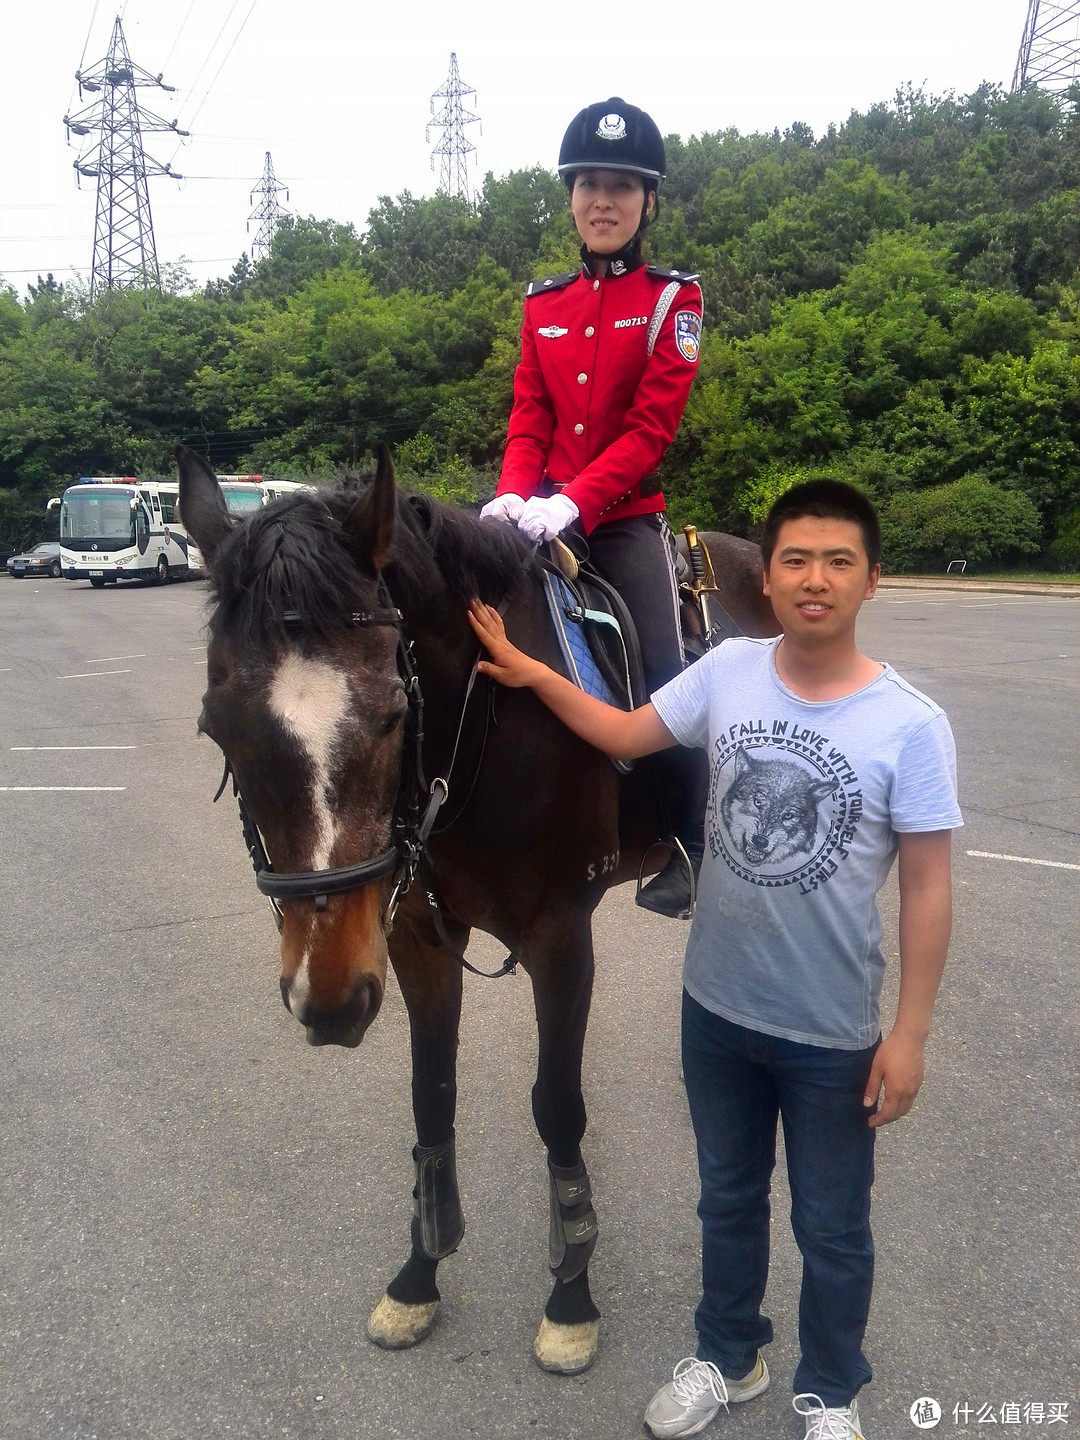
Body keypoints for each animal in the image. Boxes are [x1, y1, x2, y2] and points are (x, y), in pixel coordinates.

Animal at [177, 443, 777, 1376]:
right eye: (217, 728)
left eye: (393, 713)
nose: (327, 997)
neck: (482, 725)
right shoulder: (413, 932)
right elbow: (432, 1096)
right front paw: (418, 1275)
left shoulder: (561, 939)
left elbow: (557, 1104)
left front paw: (571, 1293)